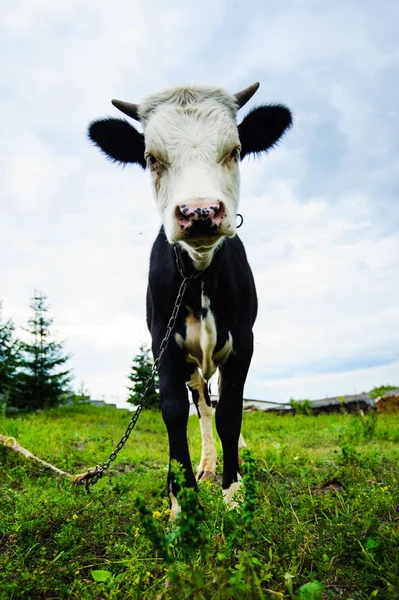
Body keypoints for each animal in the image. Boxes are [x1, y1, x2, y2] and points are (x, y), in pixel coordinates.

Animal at [89, 82, 292, 516]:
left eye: (235, 150)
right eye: (151, 158)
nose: (199, 211)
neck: (197, 274)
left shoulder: (244, 340)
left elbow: (232, 412)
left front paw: (233, 493)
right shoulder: (162, 343)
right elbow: (175, 411)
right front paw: (183, 501)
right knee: (202, 405)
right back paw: (206, 464)